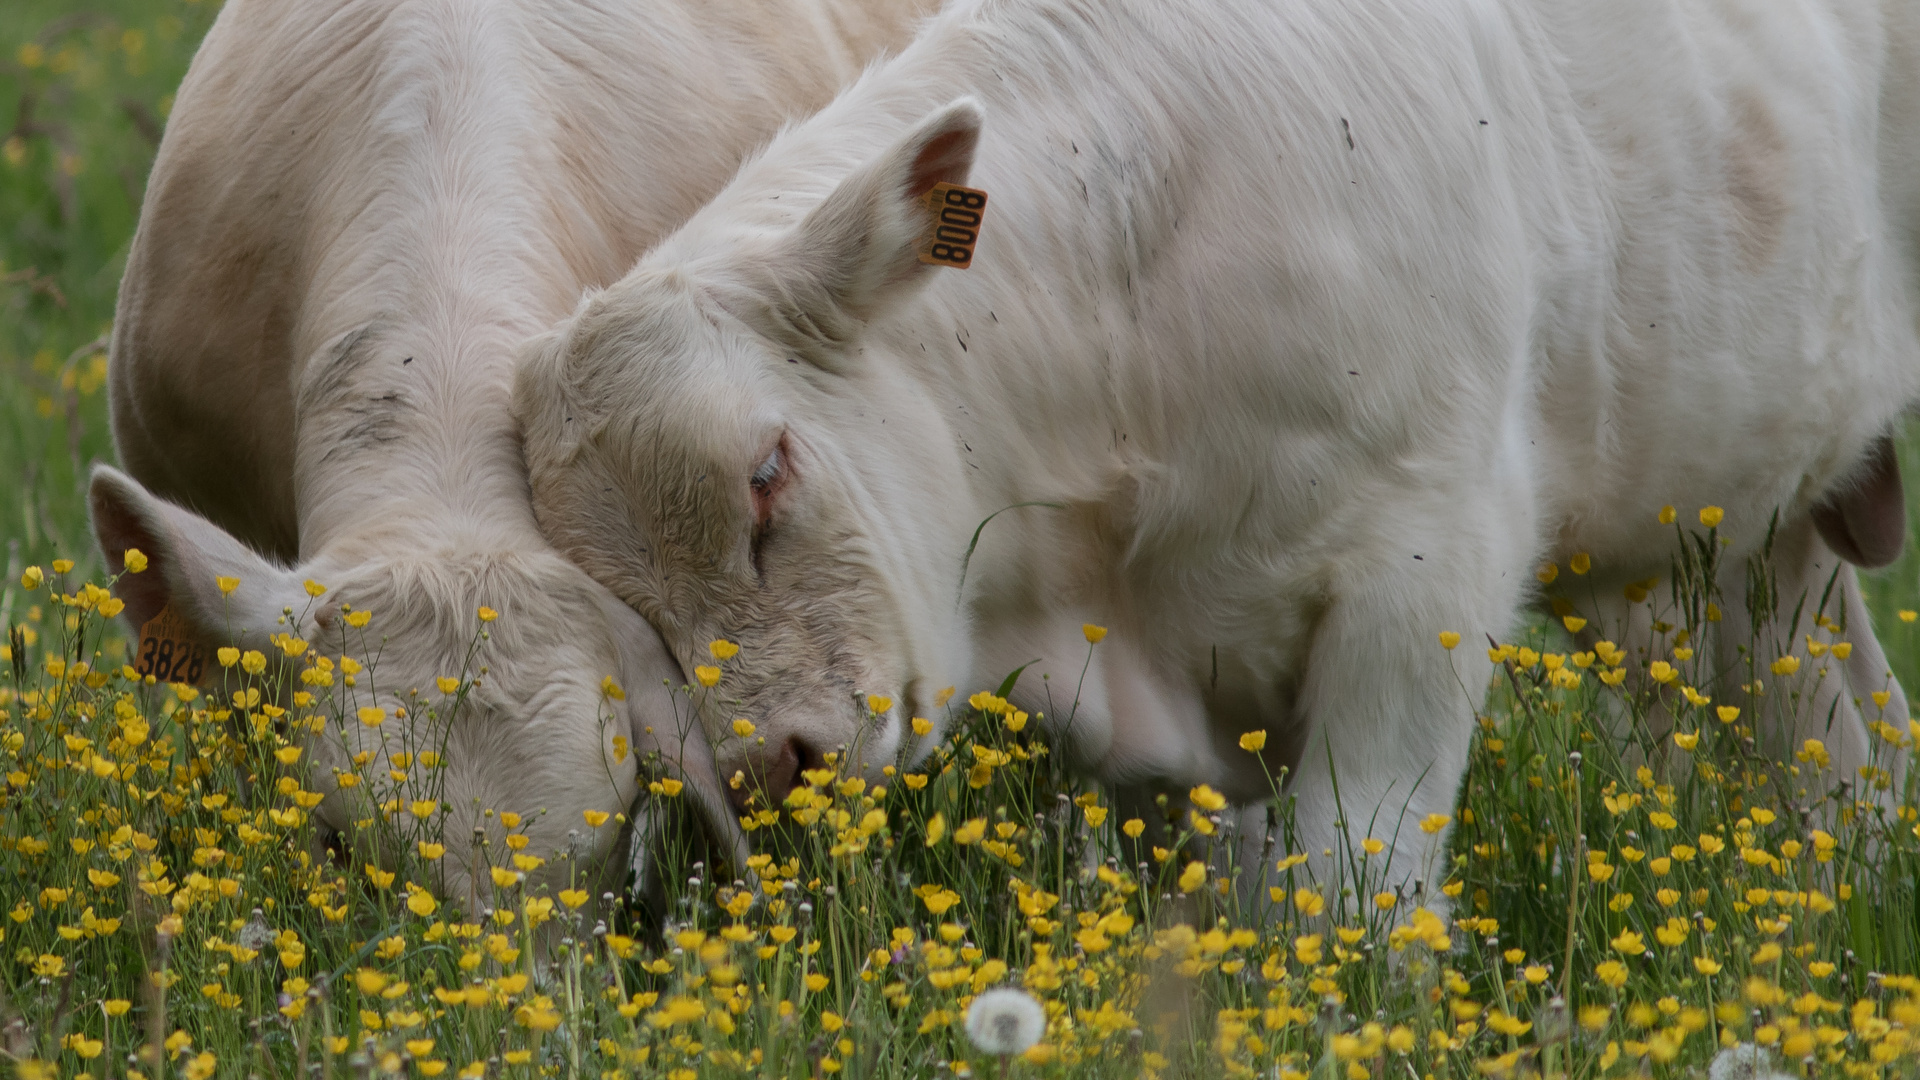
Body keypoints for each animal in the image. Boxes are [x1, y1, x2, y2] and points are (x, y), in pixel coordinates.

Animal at [514, 0, 1920, 895]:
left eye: (766, 474)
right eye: (631, 606)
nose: (774, 769)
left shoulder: (1425, 577)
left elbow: (1354, 894)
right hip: (1740, 548)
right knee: (1838, 730)